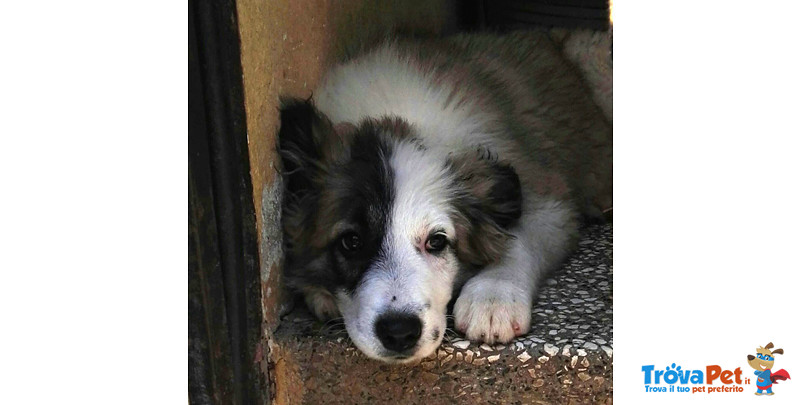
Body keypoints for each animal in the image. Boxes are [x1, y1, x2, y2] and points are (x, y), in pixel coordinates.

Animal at [276, 30, 612, 362]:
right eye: (351, 242)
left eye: (436, 241)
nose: (399, 333)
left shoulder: (547, 196)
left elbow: (519, 240)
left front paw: (493, 298)